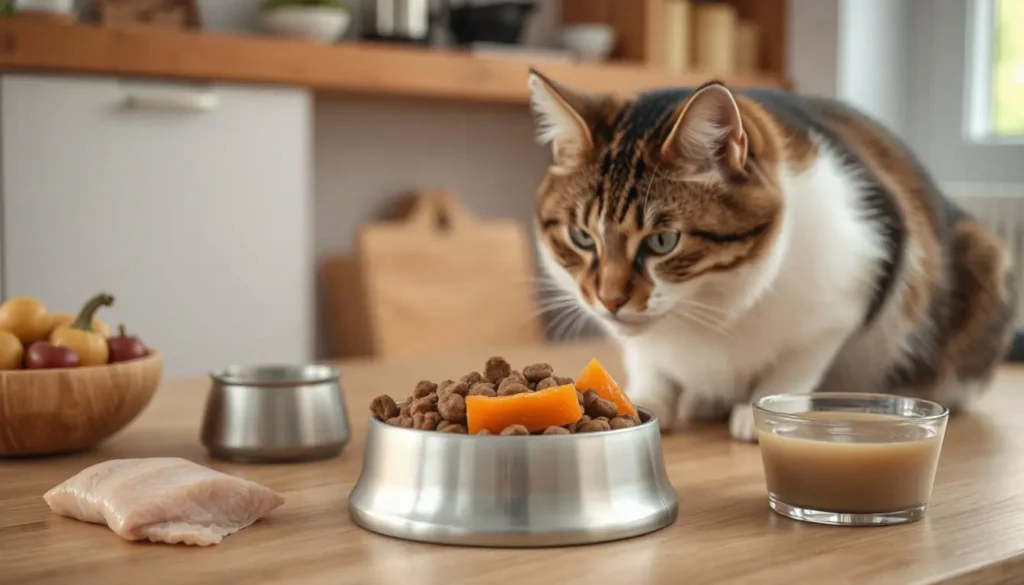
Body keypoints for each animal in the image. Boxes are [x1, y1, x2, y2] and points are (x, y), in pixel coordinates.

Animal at [528, 69, 1015, 444]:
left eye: (663, 241)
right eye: (581, 237)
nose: (608, 300)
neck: (708, 305)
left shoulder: (848, 293)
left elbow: (796, 364)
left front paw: (763, 409)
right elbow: (650, 366)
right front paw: (648, 399)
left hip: (983, 258)